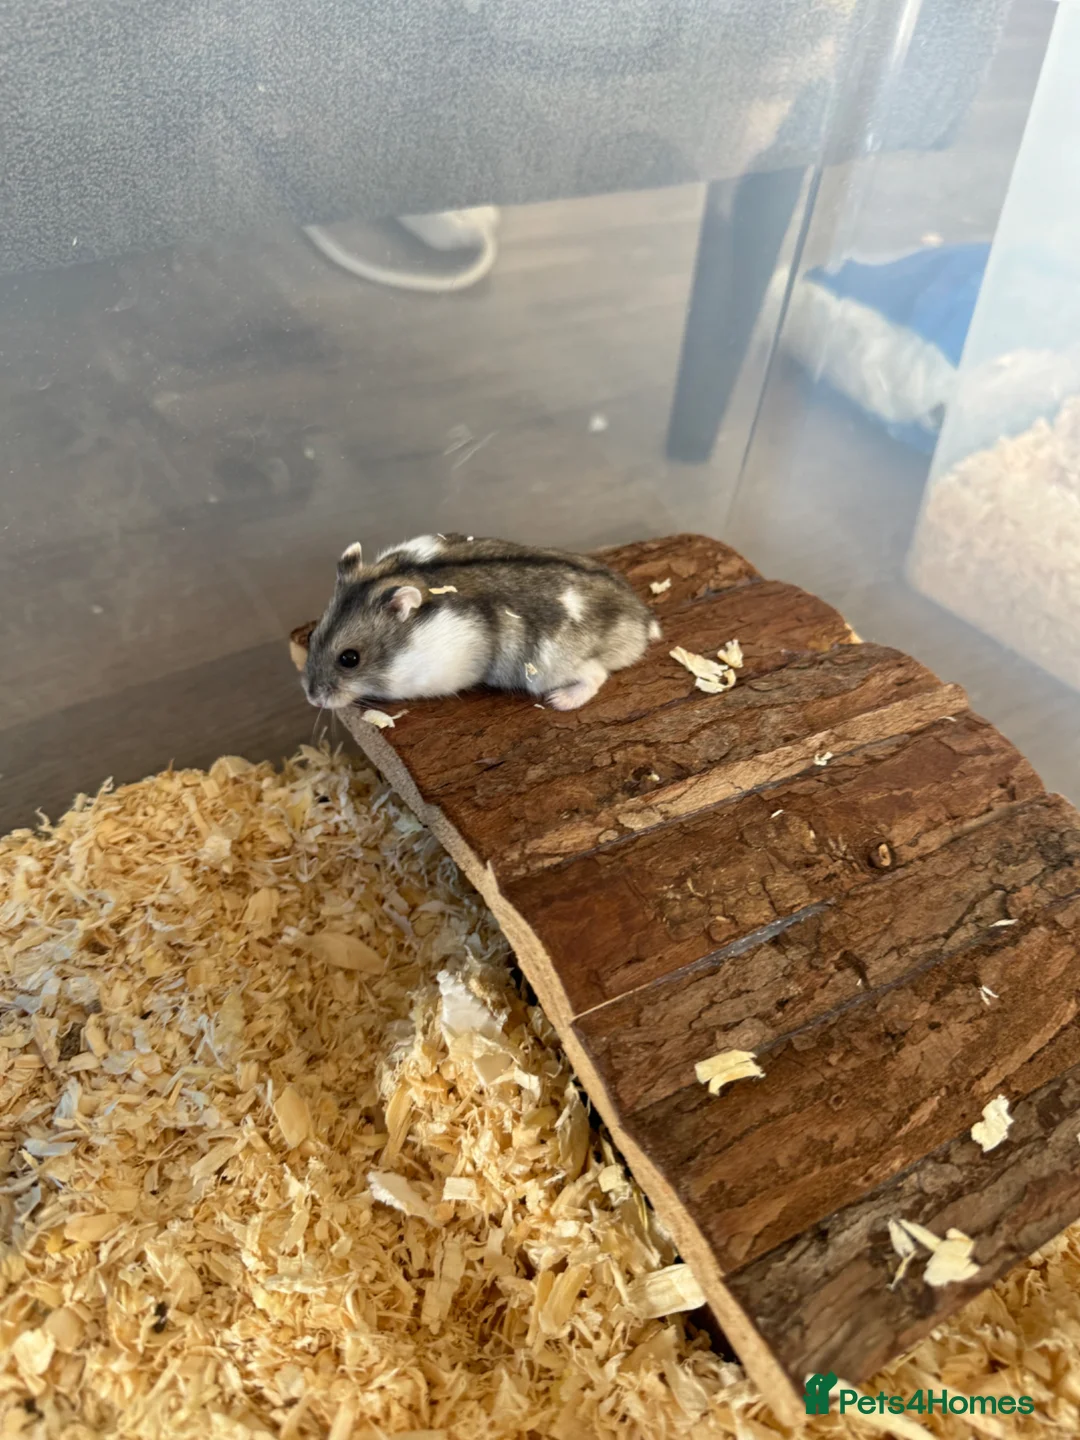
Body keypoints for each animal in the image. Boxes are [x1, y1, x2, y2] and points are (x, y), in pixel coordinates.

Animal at [302, 533, 661, 711]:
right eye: (311, 637)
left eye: (350, 658)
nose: (311, 697)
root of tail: (642, 622)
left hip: (549, 667)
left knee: (596, 674)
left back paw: (560, 702)